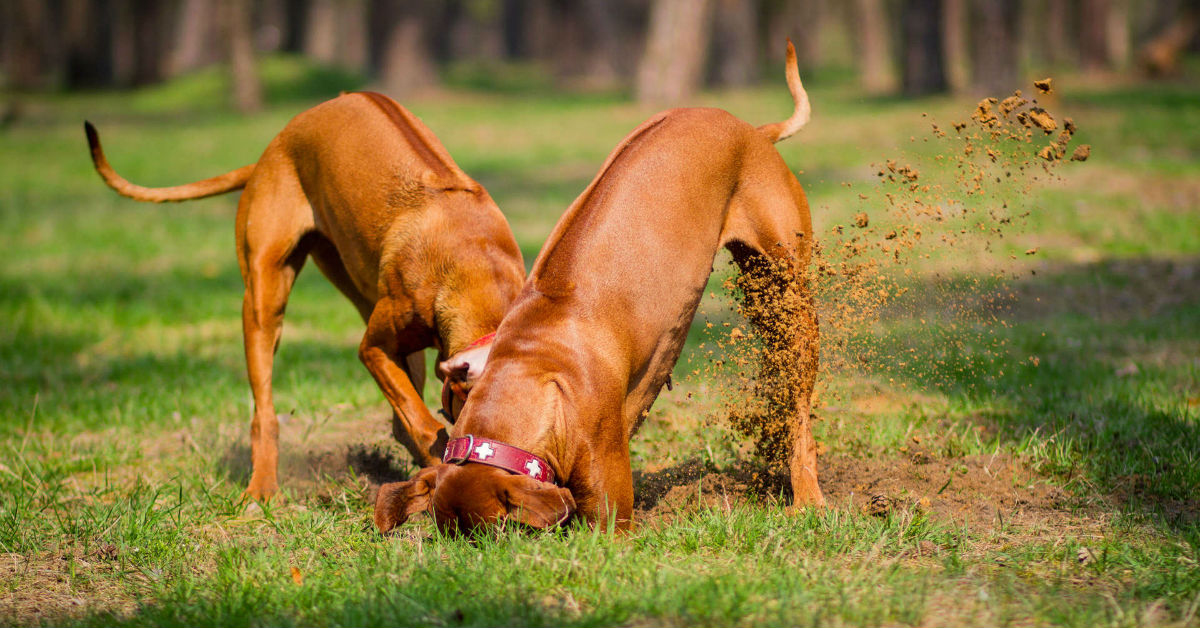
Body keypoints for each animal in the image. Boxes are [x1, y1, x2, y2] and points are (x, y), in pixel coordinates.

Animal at [84, 90, 525, 499]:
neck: (479, 268)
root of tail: (270, 150)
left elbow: (411, 409)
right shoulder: (375, 348)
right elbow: (420, 418)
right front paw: (434, 466)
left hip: (352, 276)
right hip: (264, 299)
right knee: (264, 413)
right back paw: (262, 489)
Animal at [376, 42, 825, 535]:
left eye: (492, 536)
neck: (533, 365)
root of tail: (752, 131)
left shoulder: (608, 503)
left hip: (790, 303)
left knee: (800, 411)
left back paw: (808, 496)